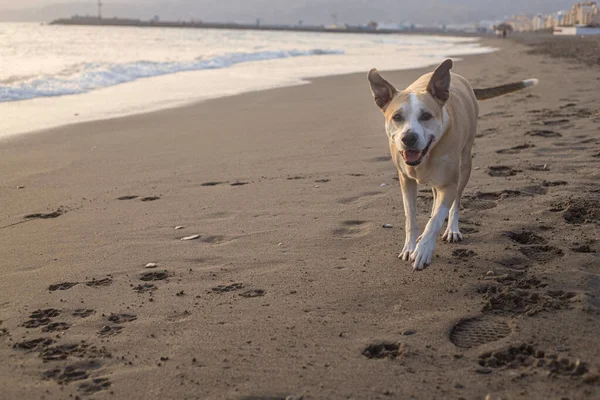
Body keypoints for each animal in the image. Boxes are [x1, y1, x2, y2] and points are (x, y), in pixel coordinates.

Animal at [368, 59, 536, 270]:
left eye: (426, 116)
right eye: (397, 117)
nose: (409, 138)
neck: (427, 153)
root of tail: (458, 77)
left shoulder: (449, 184)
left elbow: (437, 218)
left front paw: (423, 250)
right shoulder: (406, 181)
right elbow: (411, 218)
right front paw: (410, 246)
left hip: (465, 163)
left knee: (455, 201)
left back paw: (452, 229)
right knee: (435, 196)